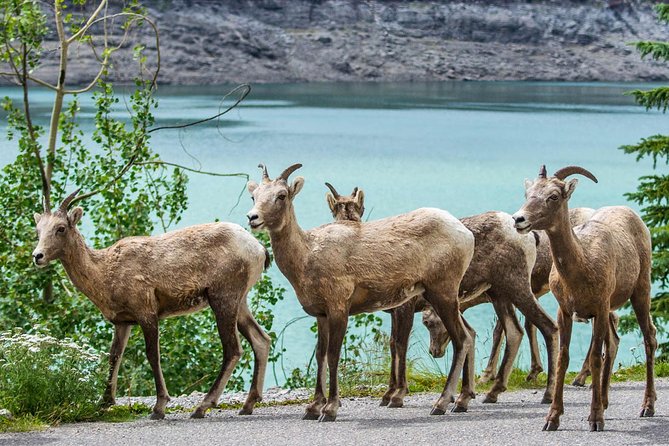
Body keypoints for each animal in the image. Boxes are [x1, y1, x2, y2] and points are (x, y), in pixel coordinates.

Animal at [31, 190, 272, 420]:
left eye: (61, 228)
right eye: (38, 229)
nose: (37, 256)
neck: (105, 276)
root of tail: (260, 250)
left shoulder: (146, 310)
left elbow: (152, 355)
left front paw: (159, 407)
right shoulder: (122, 321)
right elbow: (114, 355)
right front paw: (104, 403)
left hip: (223, 296)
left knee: (233, 349)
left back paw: (202, 407)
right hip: (241, 300)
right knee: (261, 339)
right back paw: (248, 405)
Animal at [324, 183, 560, 406]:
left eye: (359, 210)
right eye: (335, 211)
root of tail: (528, 236)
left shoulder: (405, 307)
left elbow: (400, 345)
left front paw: (396, 395)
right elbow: (393, 345)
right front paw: (390, 394)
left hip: (516, 287)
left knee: (547, 326)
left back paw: (547, 394)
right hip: (499, 294)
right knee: (514, 332)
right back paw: (491, 393)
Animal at [516, 165, 656, 432]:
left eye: (553, 196)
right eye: (528, 193)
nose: (519, 219)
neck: (584, 264)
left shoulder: (599, 309)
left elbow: (594, 358)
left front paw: (595, 420)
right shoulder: (566, 312)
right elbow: (564, 357)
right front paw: (552, 419)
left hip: (641, 292)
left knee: (648, 338)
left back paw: (647, 407)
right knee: (613, 343)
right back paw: (606, 402)